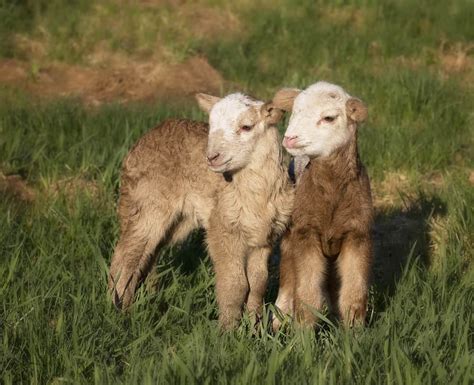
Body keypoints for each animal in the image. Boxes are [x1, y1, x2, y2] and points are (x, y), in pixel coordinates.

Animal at [108, 91, 292, 328]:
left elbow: (258, 283)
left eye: (246, 127)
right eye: (211, 125)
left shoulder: (263, 237)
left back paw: (144, 297)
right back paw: (118, 307)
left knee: (148, 254)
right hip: (147, 203)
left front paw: (254, 327)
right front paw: (228, 329)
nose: (212, 157)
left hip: (179, 221)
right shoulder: (222, 229)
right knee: (127, 253)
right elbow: (236, 284)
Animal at [272, 80, 372, 328]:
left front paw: (354, 331)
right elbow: (307, 294)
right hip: (290, 232)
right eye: (294, 111)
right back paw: (279, 318)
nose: (289, 138)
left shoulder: (358, 233)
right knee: (288, 275)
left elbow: (354, 294)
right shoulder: (305, 232)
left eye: (328, 118)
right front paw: (303, 332)